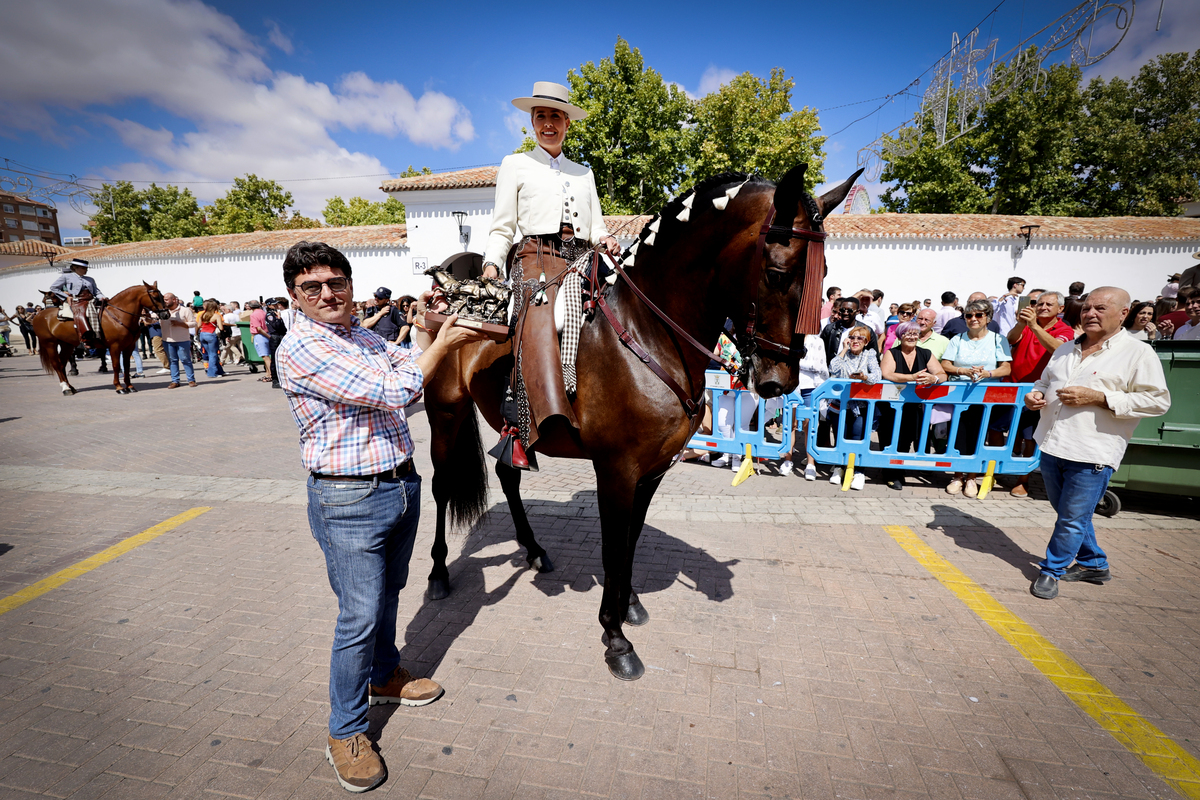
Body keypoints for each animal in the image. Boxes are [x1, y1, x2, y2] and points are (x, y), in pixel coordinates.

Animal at [33, 283, 169, 395]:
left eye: (162, 296)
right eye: (155, 297)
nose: (166, 314)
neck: (118, 315)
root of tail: (39, 315)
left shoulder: (129, 346)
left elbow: (126, 365)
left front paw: (129, 386)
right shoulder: (115, 347)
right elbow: (116, 366)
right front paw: (119, 387)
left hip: (67, 344)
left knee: (61, 364)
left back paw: (70, 387)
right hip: (50, 344)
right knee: (56, 364)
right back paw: (65, 388)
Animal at [422, 165, 864, 681]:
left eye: (823, 275)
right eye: (777, 273)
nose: (780, 380)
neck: (646, 334)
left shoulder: (652, 471)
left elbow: (631, 540)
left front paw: (628, 603)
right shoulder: (616, 470)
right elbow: (614, 548)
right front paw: (615, 637)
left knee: (507, 474)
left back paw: (533, 550)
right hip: (445, 411)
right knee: (441, 485)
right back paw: (437, 574)